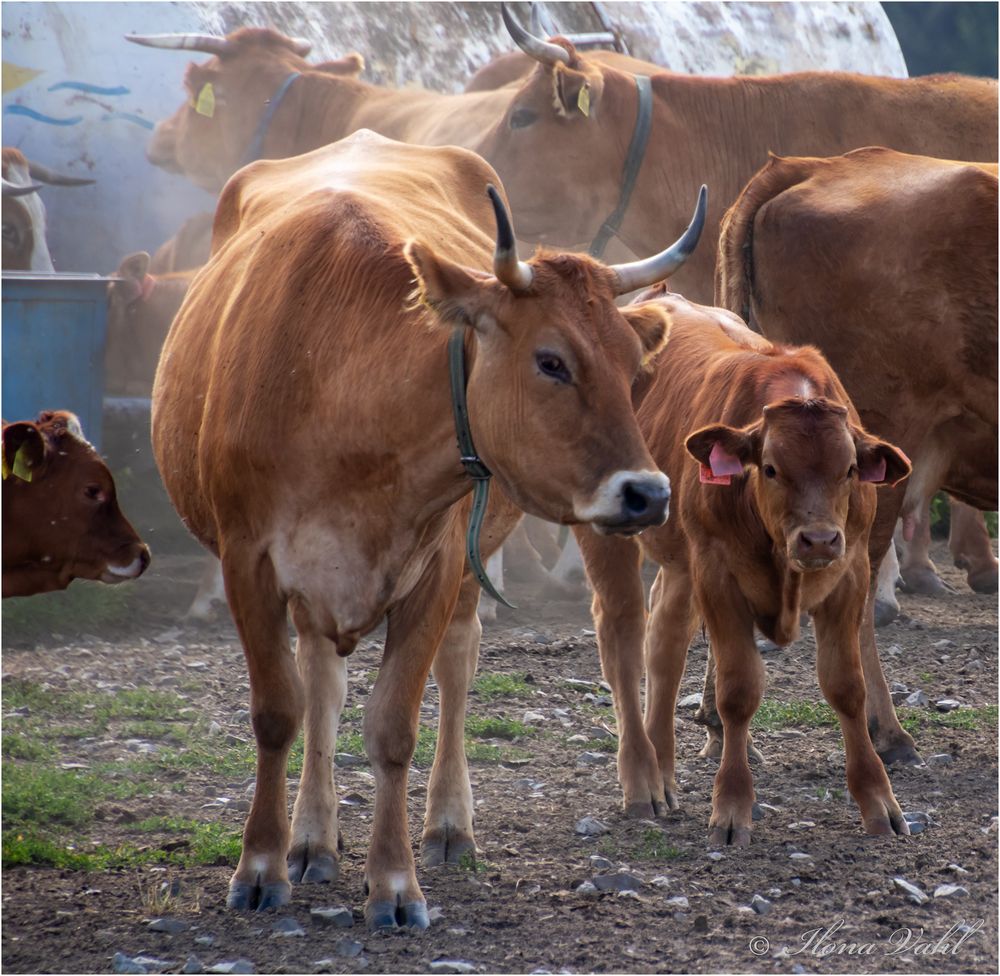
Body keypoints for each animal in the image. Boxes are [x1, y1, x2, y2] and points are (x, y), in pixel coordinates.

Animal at [152, 127, 708, 924]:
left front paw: (393, 883)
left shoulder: (437, 567)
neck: (334, 382)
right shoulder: (247, 563)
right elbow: (280, 712)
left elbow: (394, 726)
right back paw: (312, 837)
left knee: (456, 663)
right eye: (551, 361)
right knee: (322, 683)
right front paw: (261, 864)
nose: (648, 493)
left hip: (467, 567)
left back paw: (446, 824)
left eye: (637, 368)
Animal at [572, 296, 916, 840]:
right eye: (771, 468)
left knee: (665, 643)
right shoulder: (719, 576)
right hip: (612, 536)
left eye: (849, 470)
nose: (819, 538)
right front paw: (731, 807)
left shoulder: (851, 571)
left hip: (682, 565)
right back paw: (642, 782)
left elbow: (847, 686)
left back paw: (663, 771)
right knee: (622, 639)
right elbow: (737, 691)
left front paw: (878, 801)